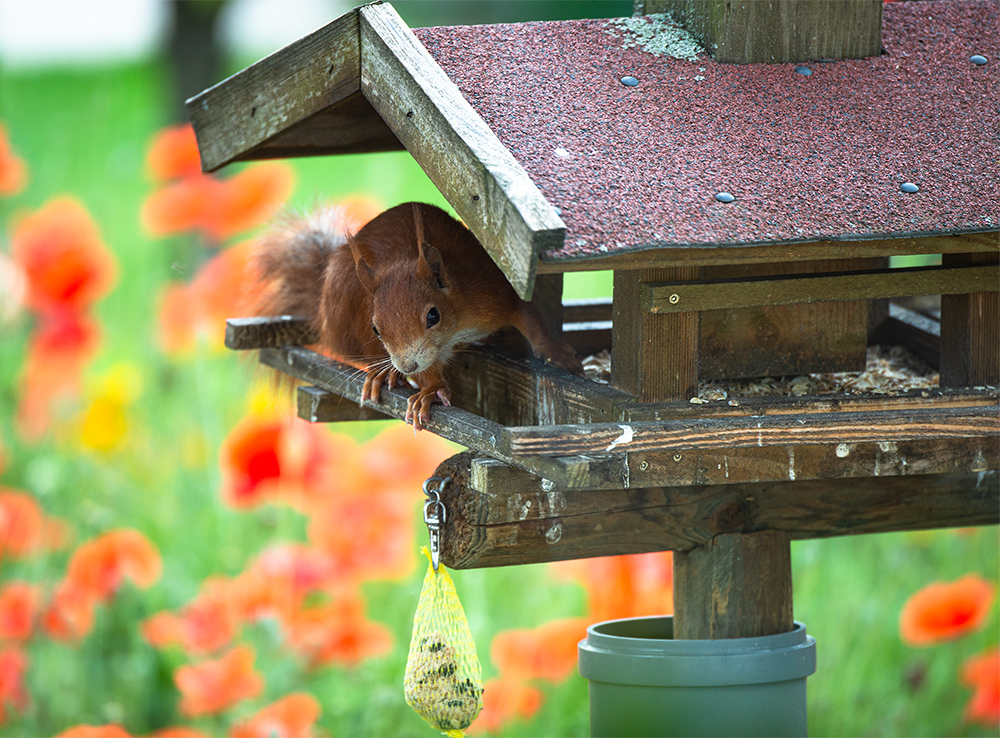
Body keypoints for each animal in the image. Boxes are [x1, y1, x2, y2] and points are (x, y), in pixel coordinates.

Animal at [252, 203, 584, 432]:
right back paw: (383, 374)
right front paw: (430, 391)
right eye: (376, 328)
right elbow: (429, 372)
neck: (456, 327)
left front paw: (560, 355)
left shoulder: (492, 294)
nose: (407, 365)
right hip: (341, 299)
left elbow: (529, 317)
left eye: (433, 315)